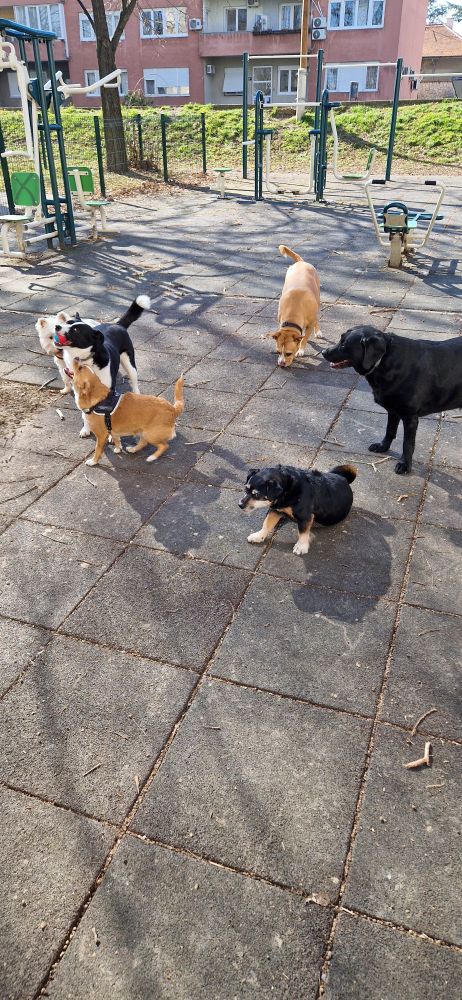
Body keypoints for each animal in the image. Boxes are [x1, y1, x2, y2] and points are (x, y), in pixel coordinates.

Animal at [322, 325, 462, 474]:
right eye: (340, 339)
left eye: (344, 345)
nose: (323, 352)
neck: (384, 360)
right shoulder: (393, 410)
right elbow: (389, 430)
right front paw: (383, 447)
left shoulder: (410, 418)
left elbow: (407, 444)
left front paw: (405, 464)